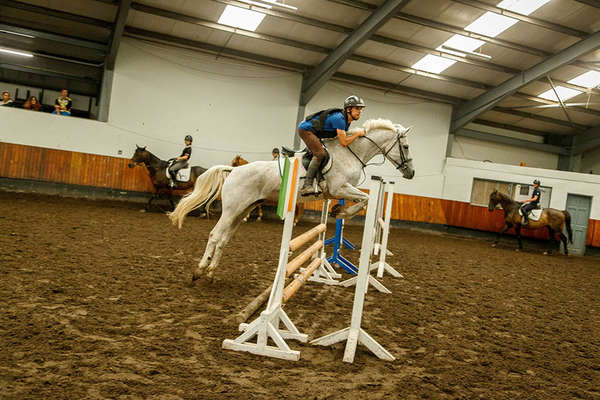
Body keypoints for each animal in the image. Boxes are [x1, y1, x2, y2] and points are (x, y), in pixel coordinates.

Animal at [168, 119, 412, 282]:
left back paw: (210, 273)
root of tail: (234, 170)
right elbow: (366, 198)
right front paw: (340, 212)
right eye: (407, 146)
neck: (350, 153)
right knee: (215, 235)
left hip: (241, 211)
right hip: (230, 211)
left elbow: (363, 199)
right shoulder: (339, 188)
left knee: (224, 239)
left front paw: (337, 211)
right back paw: (199, 271)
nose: (411, 173)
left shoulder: (338, 191)